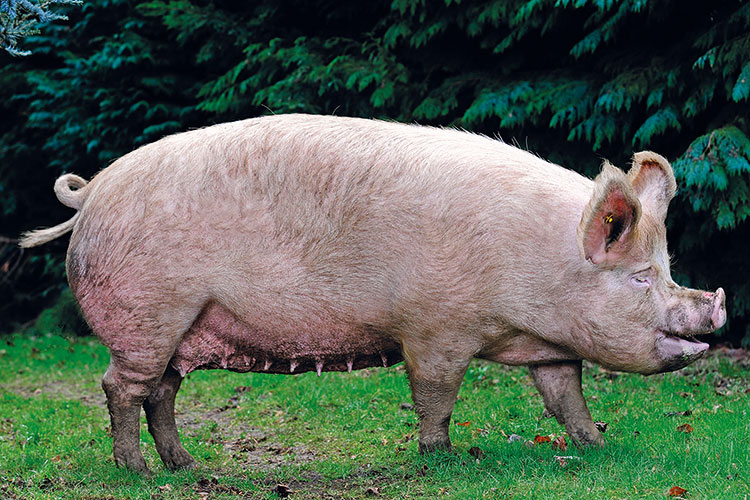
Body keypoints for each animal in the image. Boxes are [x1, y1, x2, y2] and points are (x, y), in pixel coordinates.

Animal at [20, 114, 726, 474]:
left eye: (666, 267)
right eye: (640, 278)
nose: (715, 306)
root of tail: (93, 193)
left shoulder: (550, 346)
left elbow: (565, 398)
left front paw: (599, 448)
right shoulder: (436, 328)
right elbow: (436, 394)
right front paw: (442, 460)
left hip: (183, 326)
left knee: (161, 391)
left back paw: (186, 467)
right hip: (148, 314)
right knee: (120, 387)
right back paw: (137, 473)